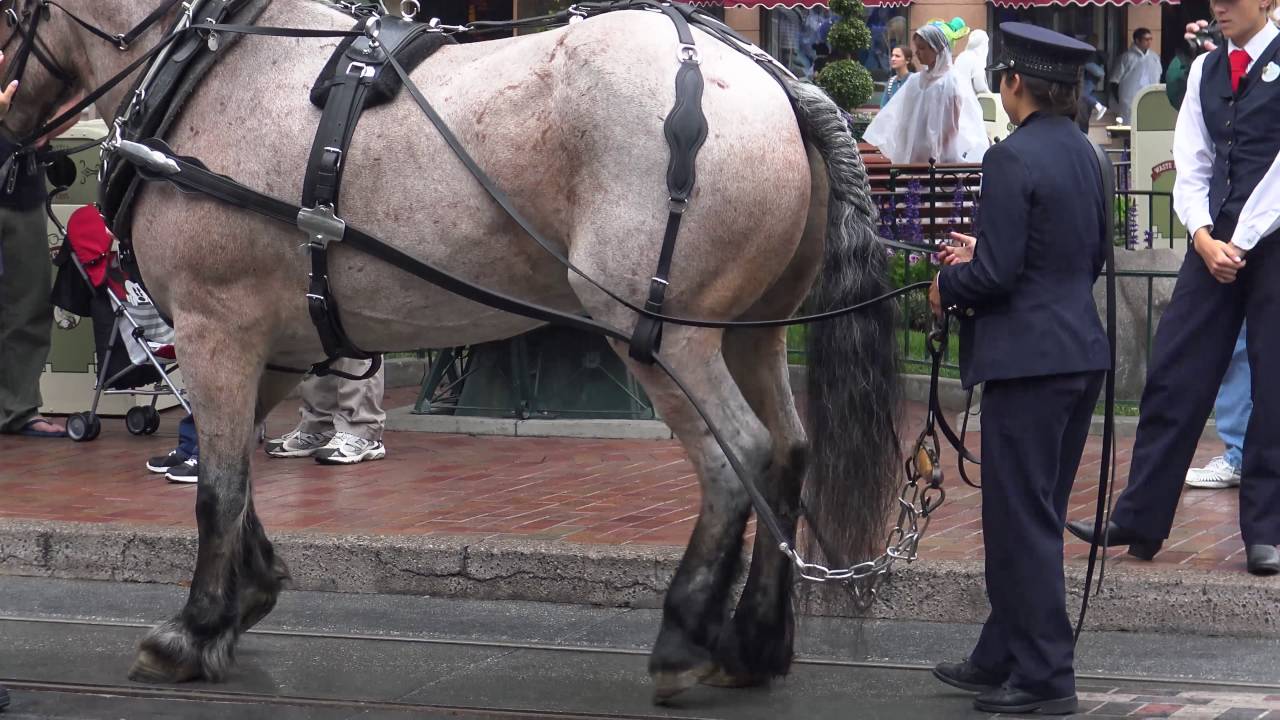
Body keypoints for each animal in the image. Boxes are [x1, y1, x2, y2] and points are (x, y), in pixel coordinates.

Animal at [0, 0, 901, 701]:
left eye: (7, 17)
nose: (14, 149)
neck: (209, 72)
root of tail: (778, 81)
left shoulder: (214, 323)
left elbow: (217, 488)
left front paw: (192, 630)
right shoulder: (272, 342)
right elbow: (241, 477)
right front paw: (248, 594)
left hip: (663, 336)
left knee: (735, 456)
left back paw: (684, 638)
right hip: (753, 331)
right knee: (787, 450)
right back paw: (755, 645)